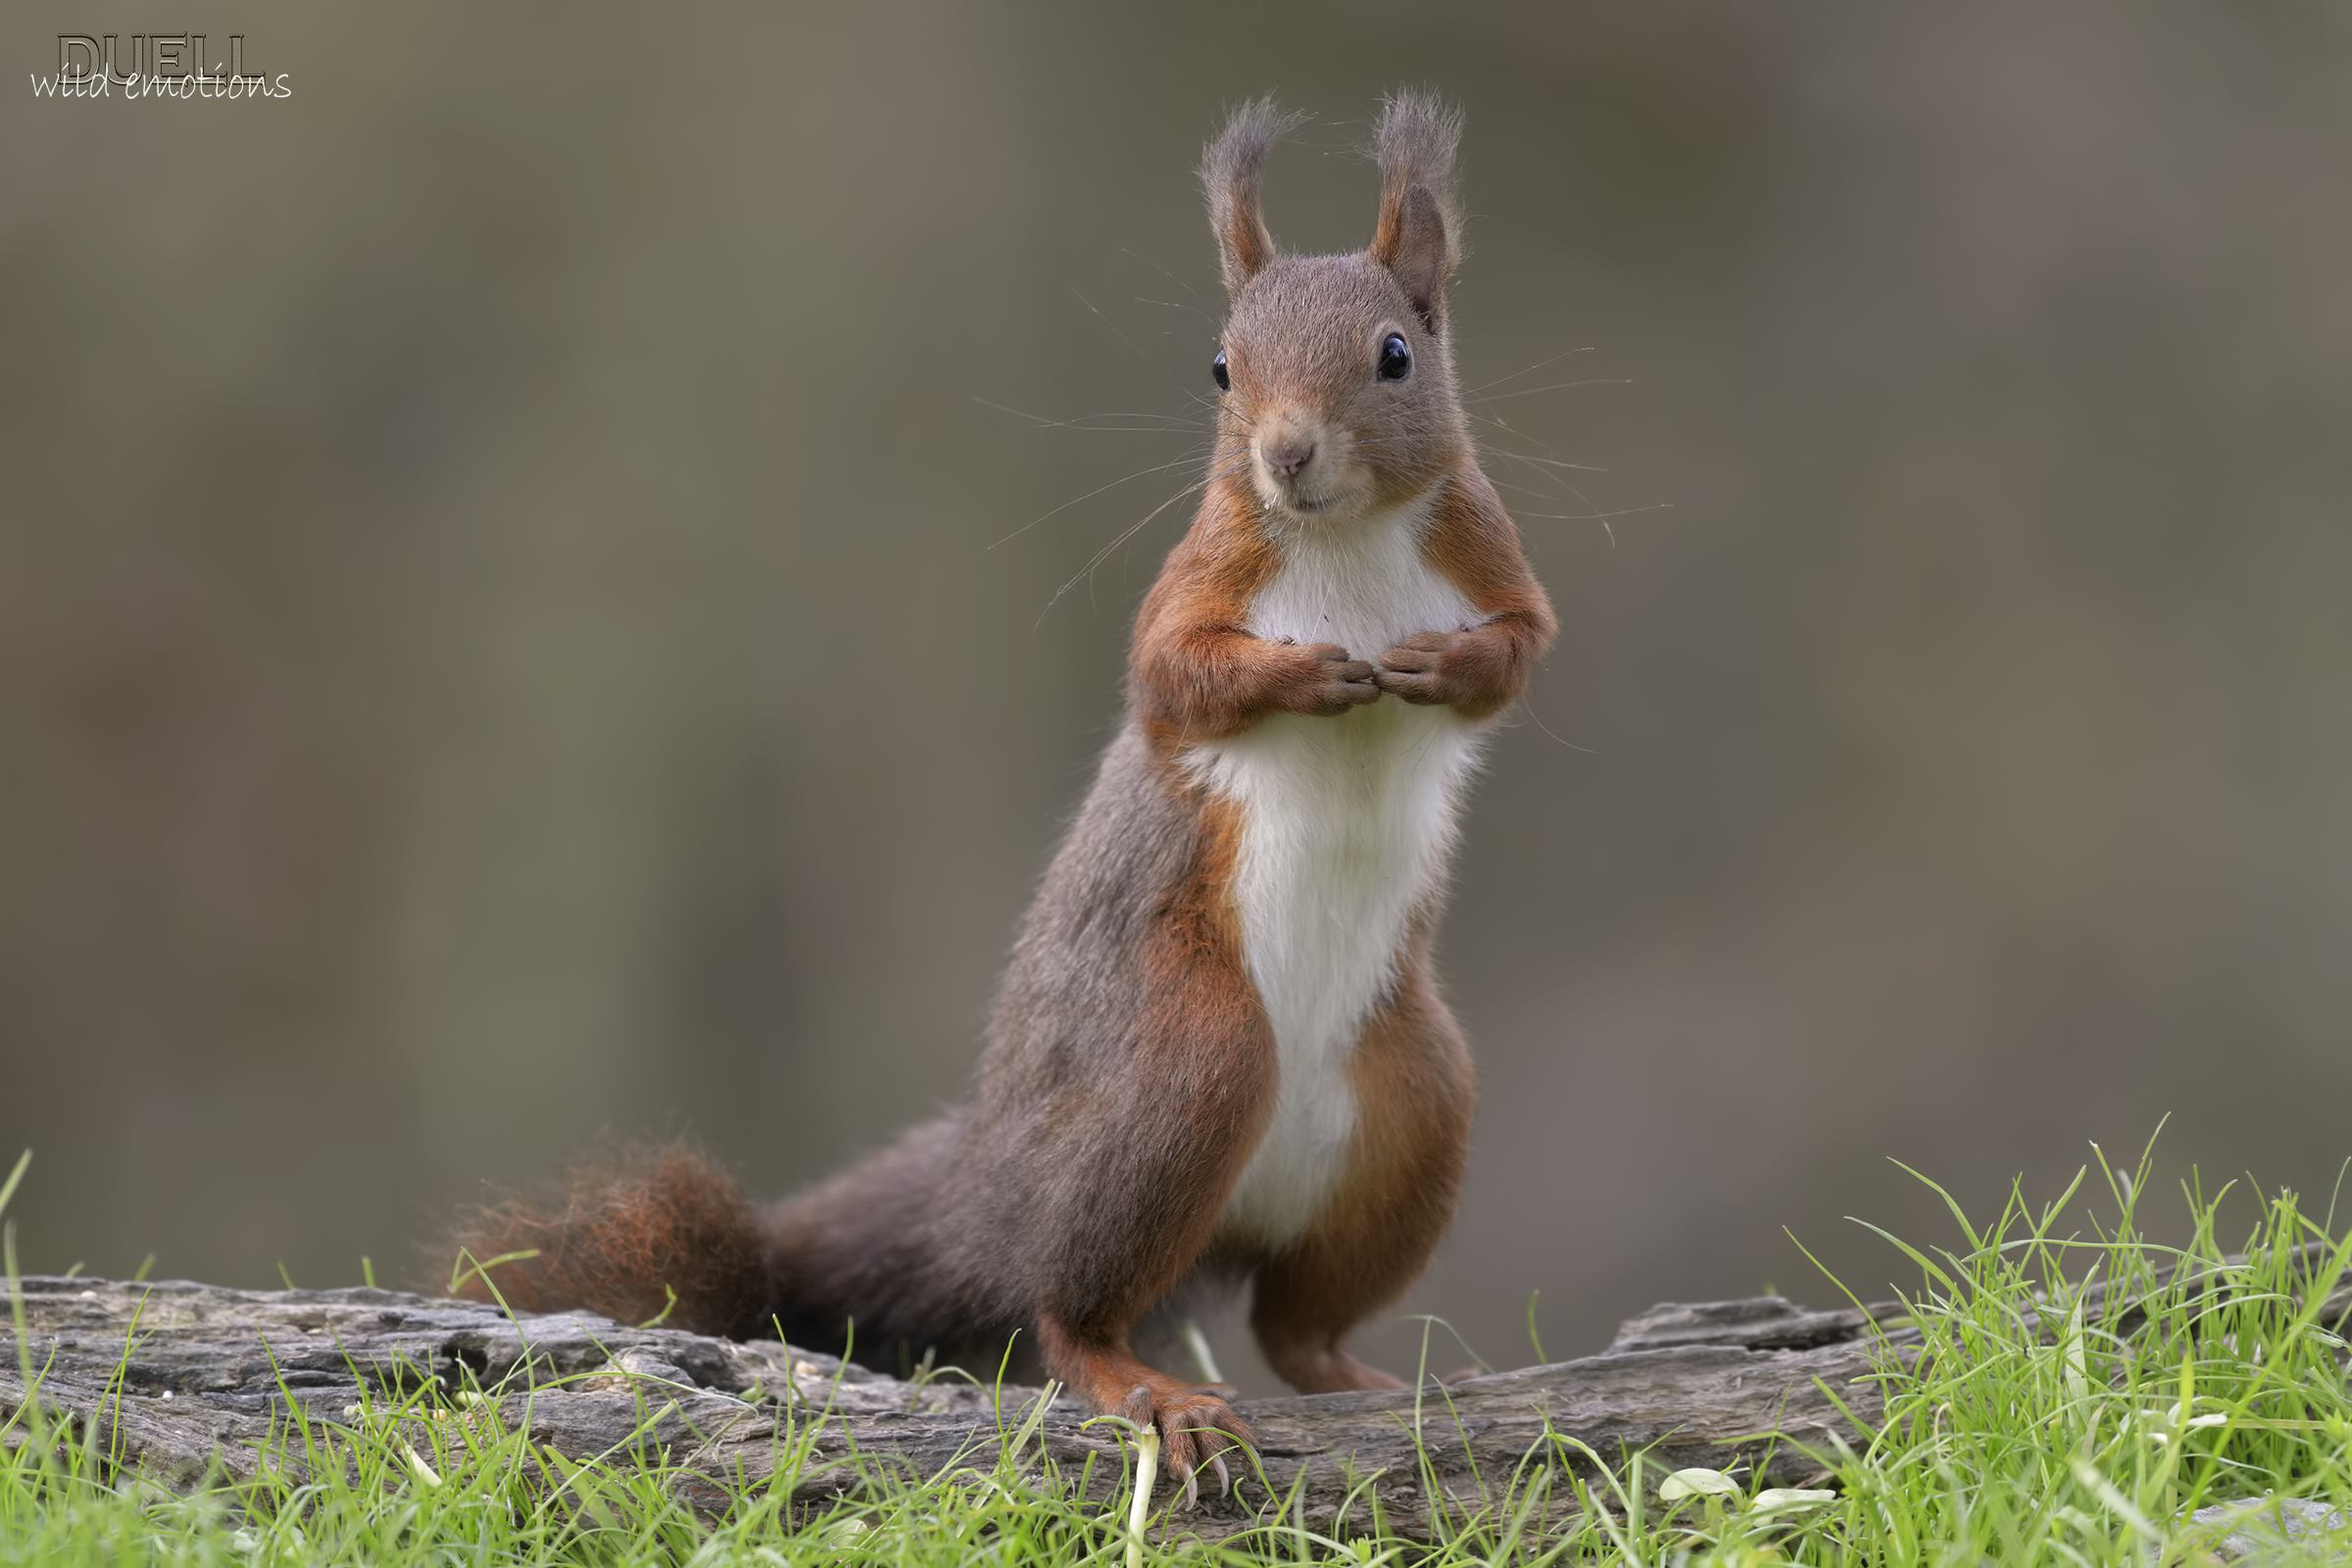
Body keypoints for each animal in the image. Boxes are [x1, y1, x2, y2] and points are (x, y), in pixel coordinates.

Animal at [443, 91, 1556, 1497]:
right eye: (1220, 368)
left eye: (1397, 354)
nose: (1287, 455)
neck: (1344, 540)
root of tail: (992, 1189)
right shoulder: (1204, 574)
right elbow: (1173, 677)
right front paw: (1304, 675)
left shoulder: (1490, 550)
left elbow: (1520, 650)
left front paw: (1435, 666)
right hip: (1188, 1065)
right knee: (1068, 1310)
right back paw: (1149, 1390)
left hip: (1415, 1107)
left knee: (1294, 1324)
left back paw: (1373, 1379)